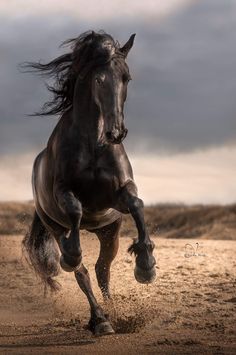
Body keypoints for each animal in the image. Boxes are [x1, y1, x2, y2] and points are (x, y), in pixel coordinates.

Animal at [23, 30, 157, 336]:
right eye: (98, 79)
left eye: (126, 77)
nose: (116, 133)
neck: (94, 143)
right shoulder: (64, 192)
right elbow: (75, 210)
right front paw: (69, 254)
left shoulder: (118, 194)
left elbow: (137, 203)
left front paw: (146, 266)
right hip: (54, 224)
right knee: (83, 273)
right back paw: (100, 319)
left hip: (109, 231)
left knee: (102, 270)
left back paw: (113, 313)